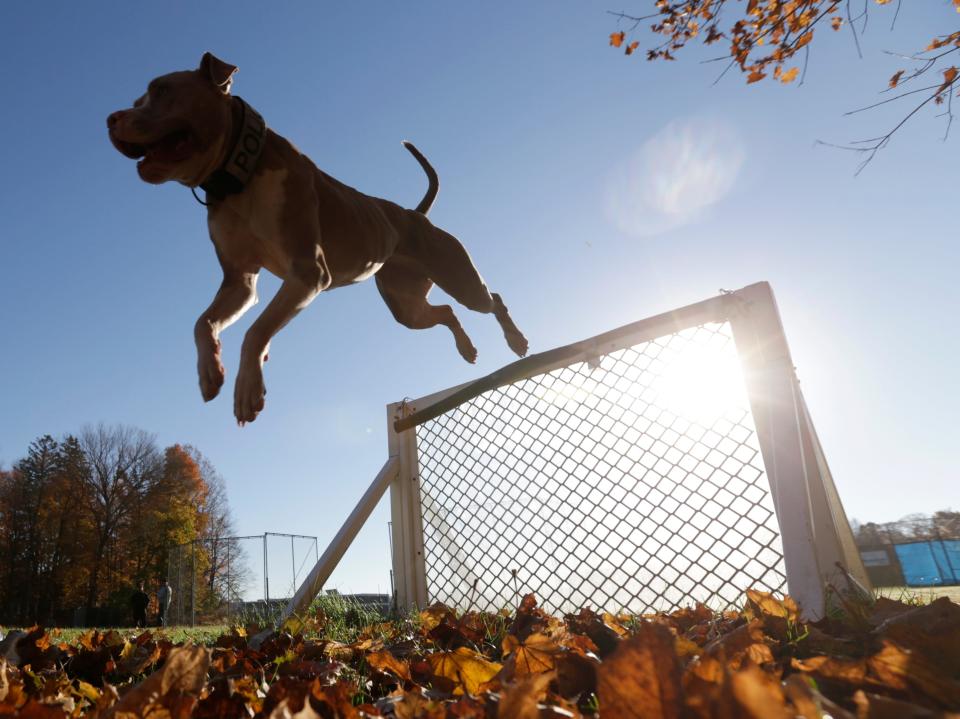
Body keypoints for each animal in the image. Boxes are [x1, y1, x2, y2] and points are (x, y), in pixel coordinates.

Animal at [109, 53, 528, 424]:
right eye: (139, 99)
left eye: (161, 89)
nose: (111, 118)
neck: (238, 175)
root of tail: (415, 215)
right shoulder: (240, 283)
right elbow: (203, 322)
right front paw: (210, 370)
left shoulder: (307, 273)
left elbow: (255, 331)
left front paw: (248, 389)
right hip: (406, 307)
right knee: (446, 312)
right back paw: (467, 347)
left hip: (460, 279)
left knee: (492, 299)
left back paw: (516, 340)